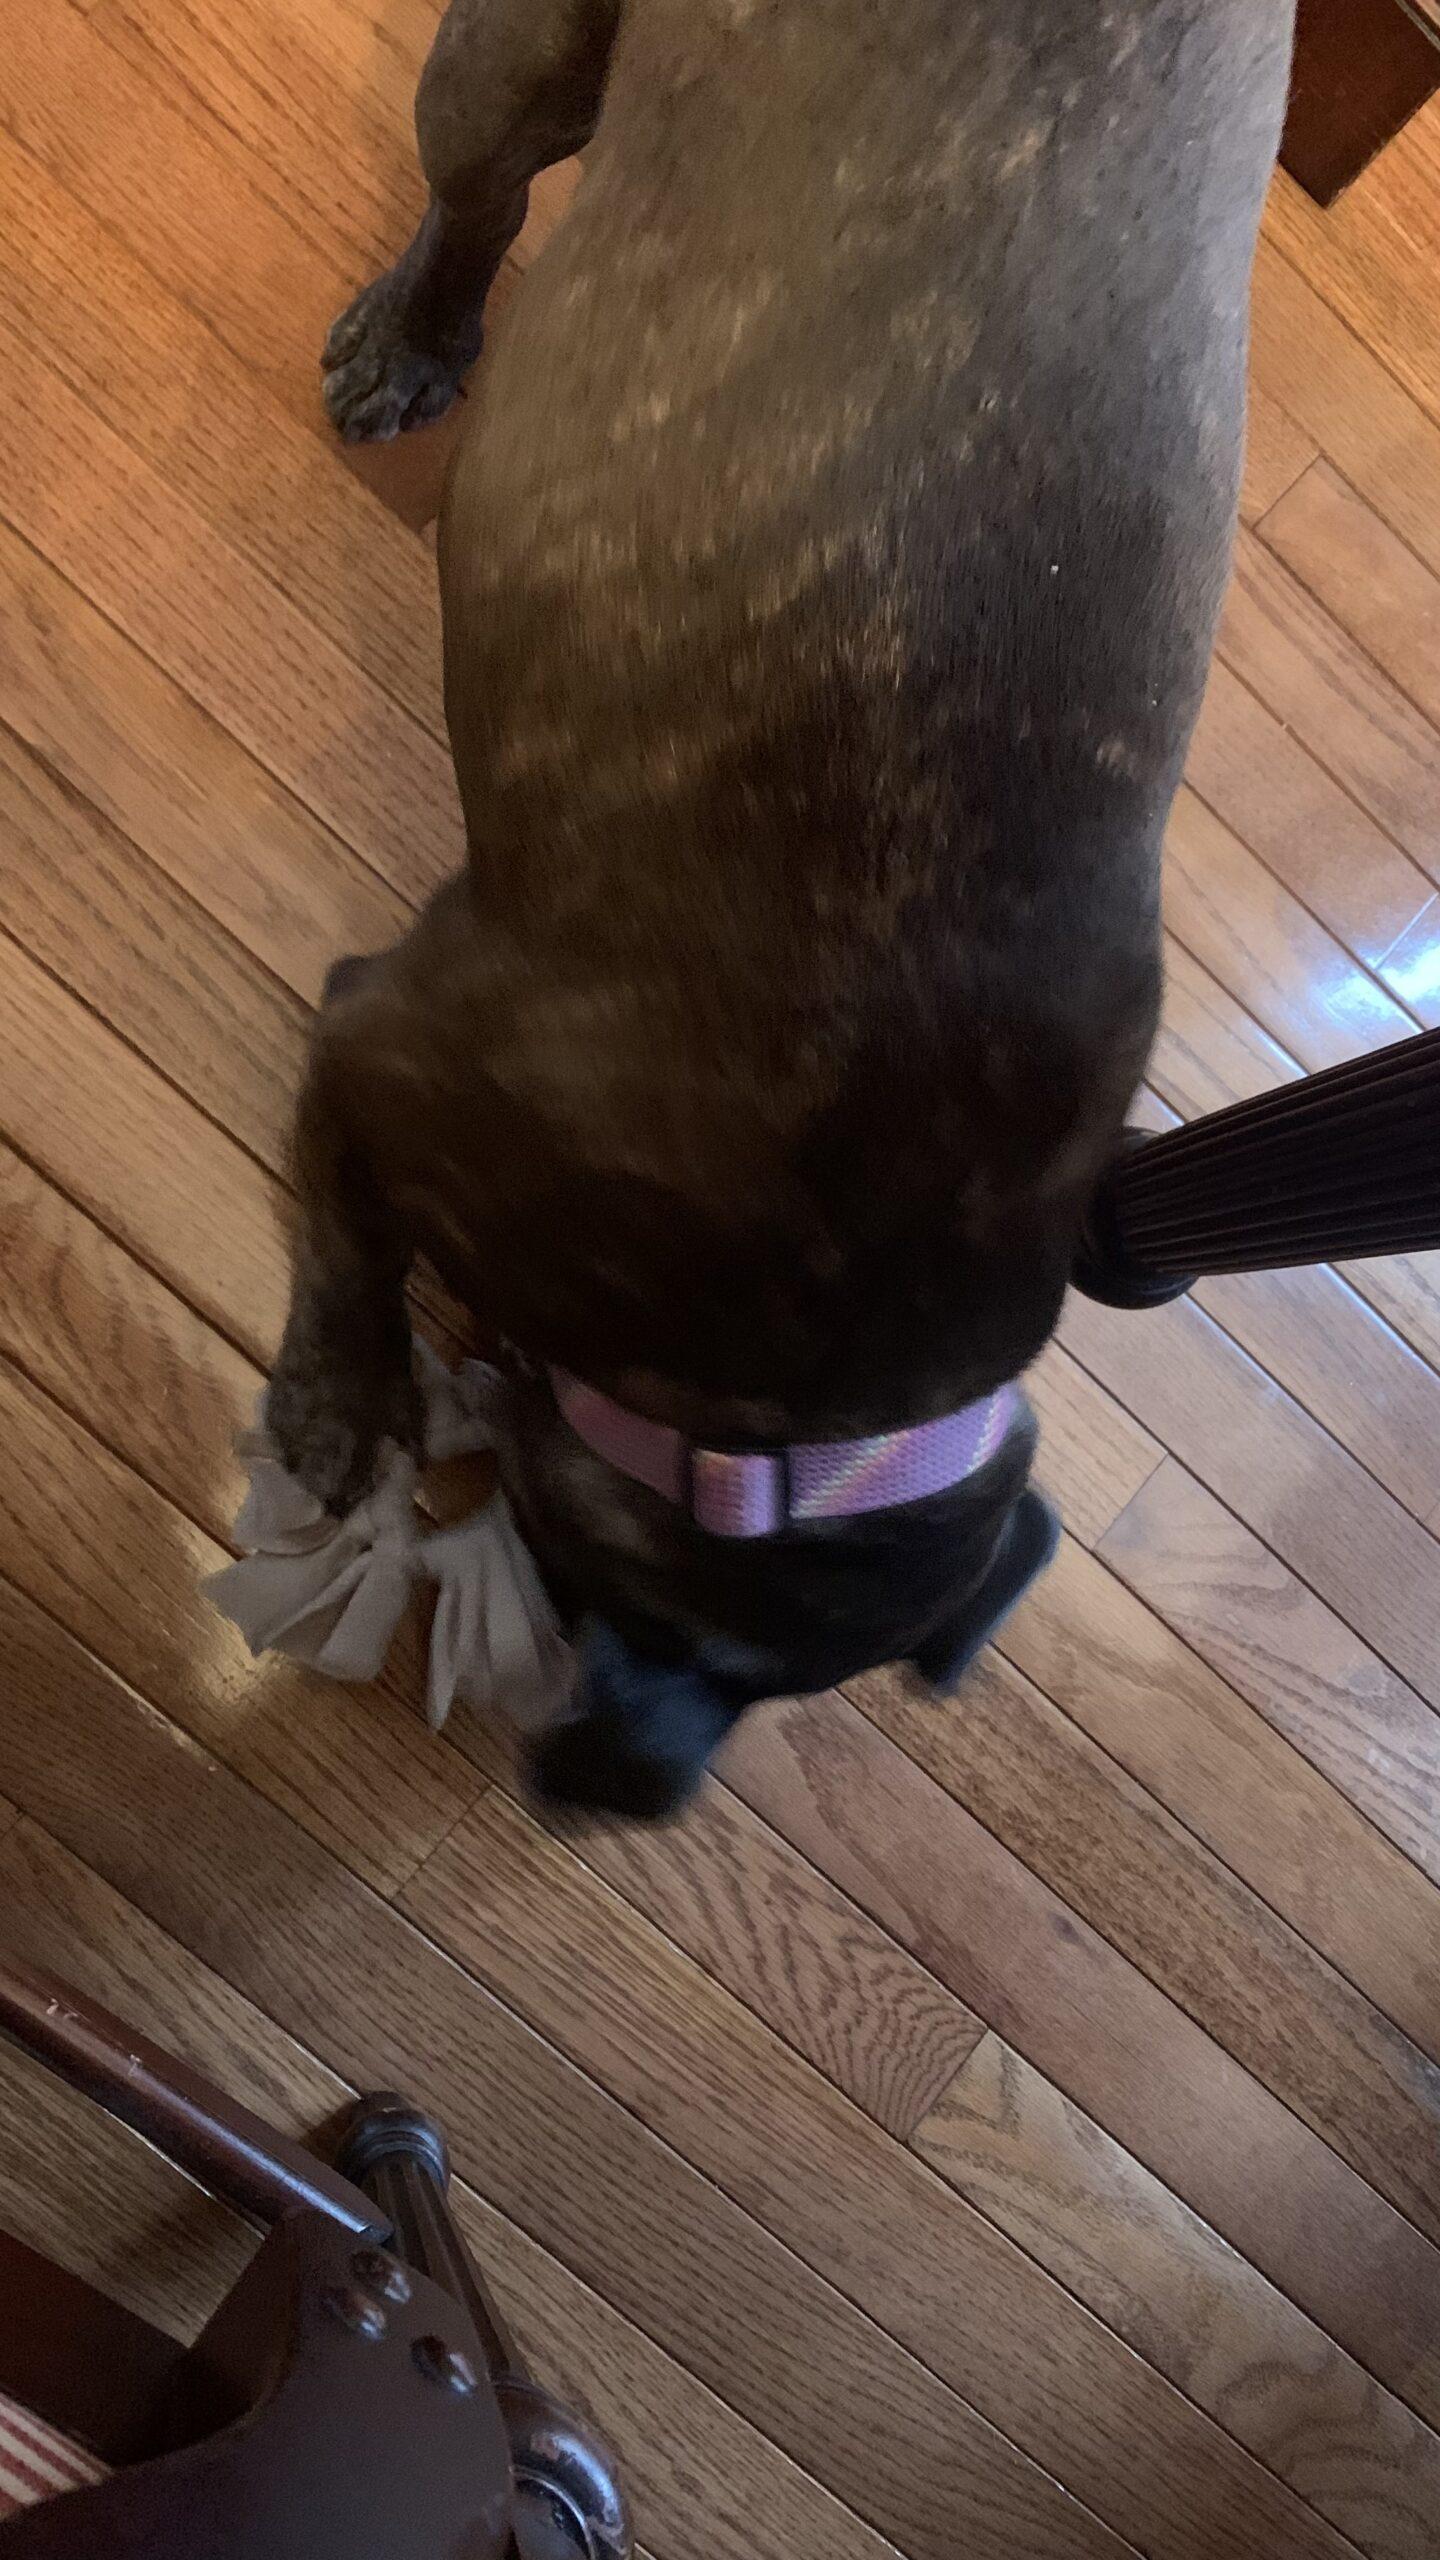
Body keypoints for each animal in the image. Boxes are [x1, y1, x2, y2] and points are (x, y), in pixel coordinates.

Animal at [268, 0, 1294, 1816]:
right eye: (609, 1609)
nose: (614, 1788)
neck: (805, 1408)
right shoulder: (370, 1041)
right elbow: (349, 1225)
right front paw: (346, 1392)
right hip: (516, 70)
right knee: (482, 195)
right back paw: (418, 333)